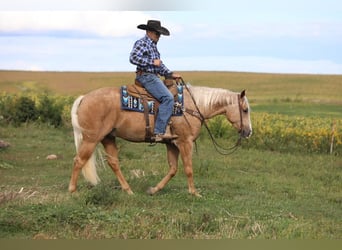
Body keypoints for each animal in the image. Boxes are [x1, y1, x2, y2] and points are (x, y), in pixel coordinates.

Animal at [69, 81, 251, 196]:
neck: (191, 106)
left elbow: (173, 169)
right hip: (91, 139)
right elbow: (188, 168)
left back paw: (128, 190)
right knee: (79, 160)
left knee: (113, 163)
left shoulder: (171, 144)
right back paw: (73, 190)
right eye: (245, 110)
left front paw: (154, 190)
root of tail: (84, 97)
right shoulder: (185, 142)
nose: (249, 132)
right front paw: (194, 192)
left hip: (108, 138)